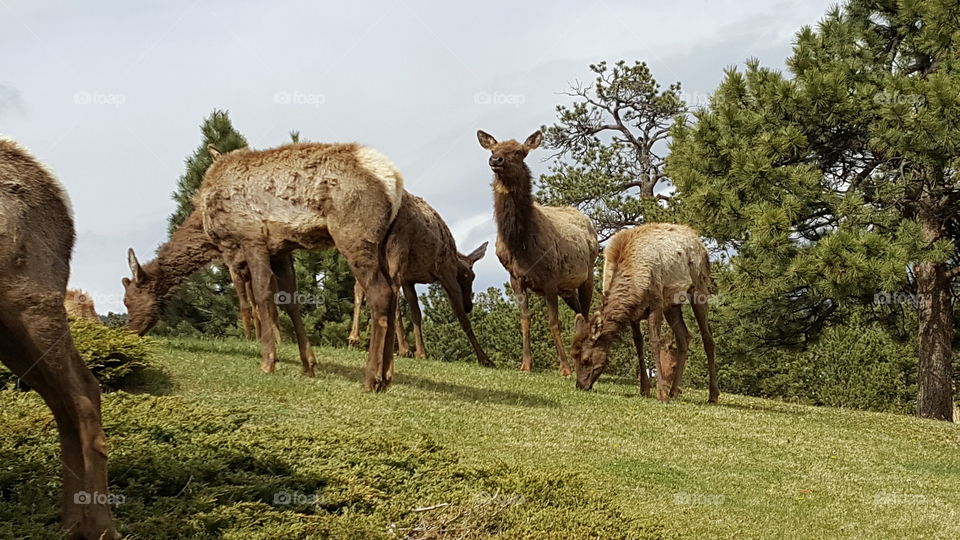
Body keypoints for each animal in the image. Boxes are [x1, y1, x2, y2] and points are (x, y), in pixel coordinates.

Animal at [125, 142, 403, 391]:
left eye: (128, 300)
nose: (129, 331)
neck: (208, 228)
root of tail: (394, 180)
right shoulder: (281, 249)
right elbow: (290, 301)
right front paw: (308, 364)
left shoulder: (252, 238)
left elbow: (262, 295)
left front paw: (268, 361)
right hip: (383, 242)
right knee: (393, 293)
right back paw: (387, 377)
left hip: (353, 234)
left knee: (380, 294)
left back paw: (370, 379)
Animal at [347, 191, 493, 366]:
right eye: (471, 277)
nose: (469, 306)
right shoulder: (447, 273)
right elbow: (462, 319)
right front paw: (485, 359)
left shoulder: (409, 280)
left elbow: (416, 314)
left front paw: (422, 352)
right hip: (397, 245)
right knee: (389, 290)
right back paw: (403, 349)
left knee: (359, 287)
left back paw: (354, 338)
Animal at [476, 129, 599, 376]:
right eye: (493, 149)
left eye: (518, 152)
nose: (495, 160)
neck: (520, 246)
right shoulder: (516, 278)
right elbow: (525, 319)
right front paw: (526, 364)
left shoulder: (550, 278)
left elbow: (553, 322)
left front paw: (565, 368)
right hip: (567, 289)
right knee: (580, 314)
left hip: (587, 274)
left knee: (587, 314)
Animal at [570, 223, 719, 403]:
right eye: (573, 355)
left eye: (586, 359)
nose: (580, 385)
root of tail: (699, 241)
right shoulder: (633, 313)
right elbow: (638, 343)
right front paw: (645, 389)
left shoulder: (656, 303)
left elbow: (654, 343)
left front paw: (661, 393)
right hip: (672, 304)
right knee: (684, 336)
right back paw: (674, 391)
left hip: (698, 288)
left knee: (707, 338)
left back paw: (712, 394)